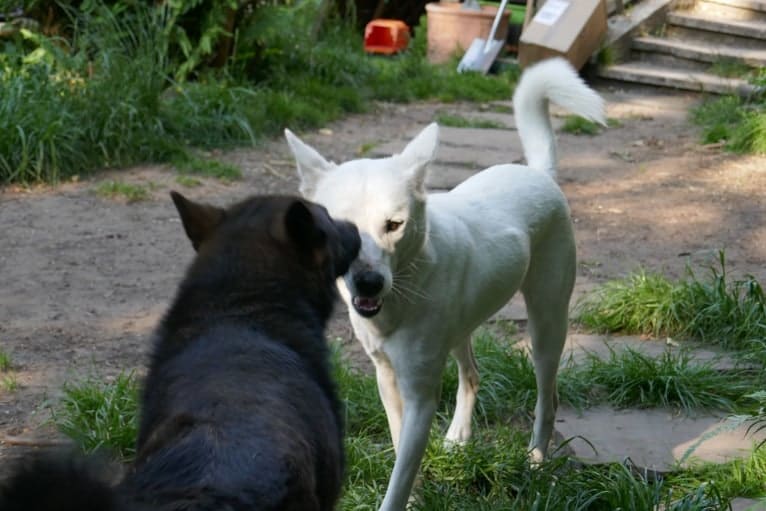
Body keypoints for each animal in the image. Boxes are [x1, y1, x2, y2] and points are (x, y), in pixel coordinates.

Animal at [286, 58, 608, 510]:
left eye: (394, 224)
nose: (368, 284)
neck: (404, 287)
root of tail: (538, 172)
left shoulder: (421, 395)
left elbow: (399, 477)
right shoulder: (388, 379)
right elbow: (400, 448)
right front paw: (418, 493)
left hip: (547, 325)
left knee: (549, 396)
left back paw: (536, 462)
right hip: (461, 328)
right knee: (472, 375)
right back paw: (459, 438)